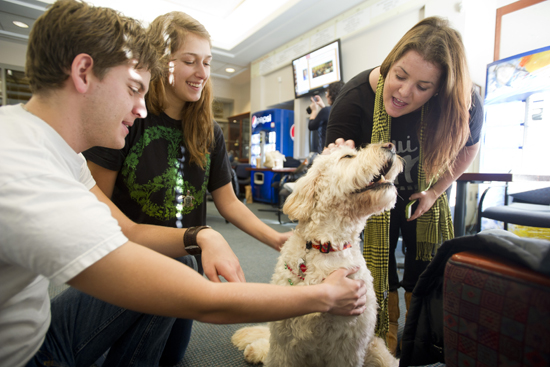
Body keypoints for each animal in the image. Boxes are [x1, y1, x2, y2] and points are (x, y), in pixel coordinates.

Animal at [231, 144, 404, 367]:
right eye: (348, 156)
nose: (390, 145)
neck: (327, 246)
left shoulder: (348, 348)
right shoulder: (283, 342)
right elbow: (278, 355)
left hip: (378, 351)